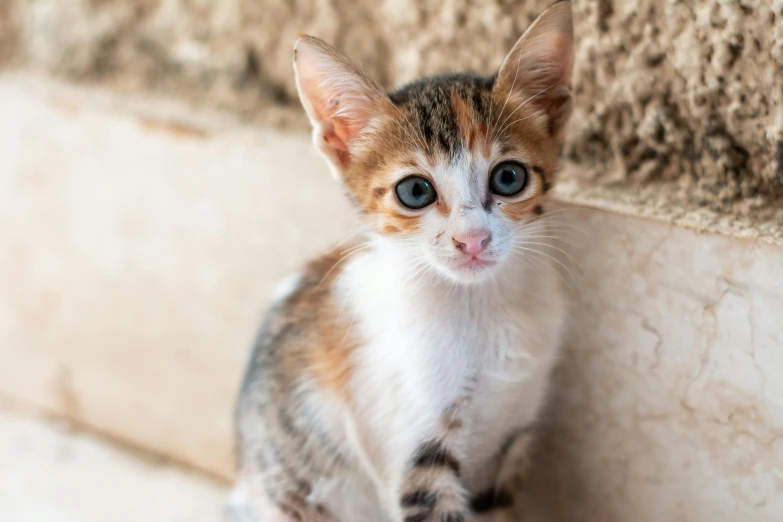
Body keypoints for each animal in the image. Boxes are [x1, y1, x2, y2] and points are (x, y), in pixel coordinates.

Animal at [230, 4, 572, 520]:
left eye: (509, 178)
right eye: (415, 191)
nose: (472, 240)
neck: (478, 312)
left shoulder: (510, 440)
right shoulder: (414, 455)